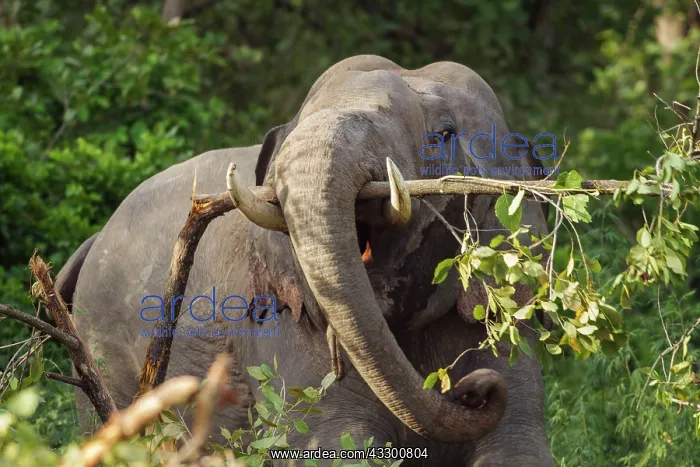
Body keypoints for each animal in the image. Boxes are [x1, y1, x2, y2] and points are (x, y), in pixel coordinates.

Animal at [56, 55, 555, 466]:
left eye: (445, 134)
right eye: (296, 128)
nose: (472, 392)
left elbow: (517, 447)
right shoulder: (283, 319)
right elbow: (334, 443)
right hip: (101, 342)